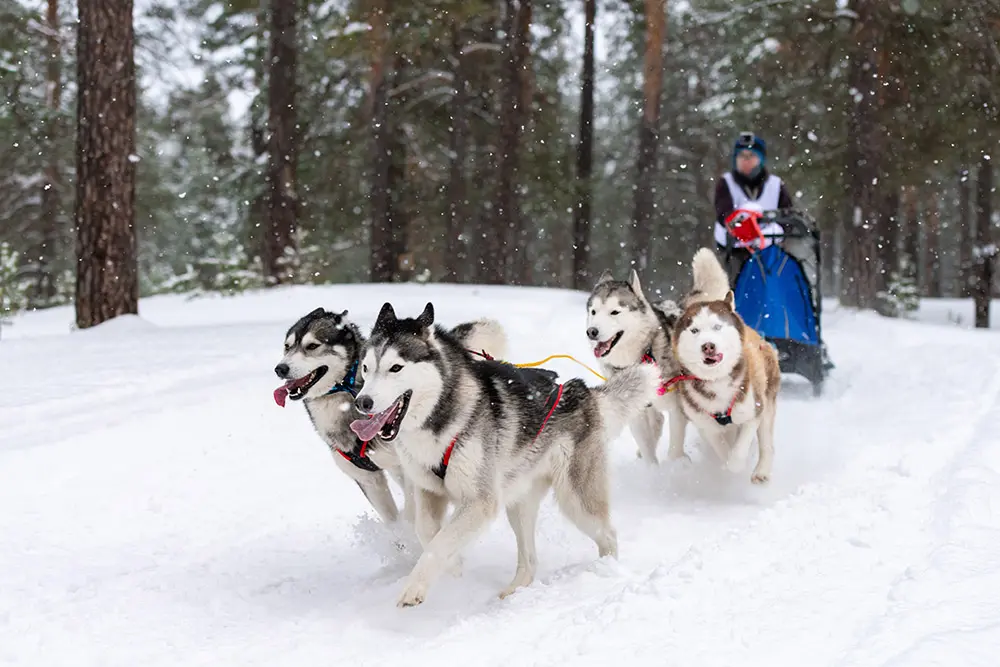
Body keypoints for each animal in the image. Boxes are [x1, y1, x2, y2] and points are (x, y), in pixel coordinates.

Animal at [274, 310, 508, 528]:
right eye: (287, 346)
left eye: (312, 346)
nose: (280, 368)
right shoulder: (368, 480)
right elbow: (392, 519)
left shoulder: (408, 470)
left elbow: (413, 514)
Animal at [348, 306, 660, 608]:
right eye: (366, 368)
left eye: (396, 368)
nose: (362, 402)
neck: (441, 417)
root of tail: (583, 391)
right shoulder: (428, 490)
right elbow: (427, 533)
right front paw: (454, 568)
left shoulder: (481, 502)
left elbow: (440, 543)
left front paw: (415, 587)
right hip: (519, 503)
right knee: (530, 559)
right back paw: (513, 592)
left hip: (576, 500)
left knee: (608, 535)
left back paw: (605, 572)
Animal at [584, 249, 732, 464]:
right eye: (593, 311)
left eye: (614, 312)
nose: (591, 332)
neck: (643, 355)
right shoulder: (636, 411)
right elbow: (647, 447)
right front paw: (651, 469)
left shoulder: (678, 408)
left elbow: (675, 445)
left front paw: (675, 465)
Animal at [672, 282, 780, 486]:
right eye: (694, 330)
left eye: (717, 327)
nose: (708, 346)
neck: (717, 381)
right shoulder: (705, 424)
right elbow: (721, 448)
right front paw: (725, 461)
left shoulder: (753, 411)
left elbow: (739, 450)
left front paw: (737, 463)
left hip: (767, 399)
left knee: (767, 443)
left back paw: (761, 471)